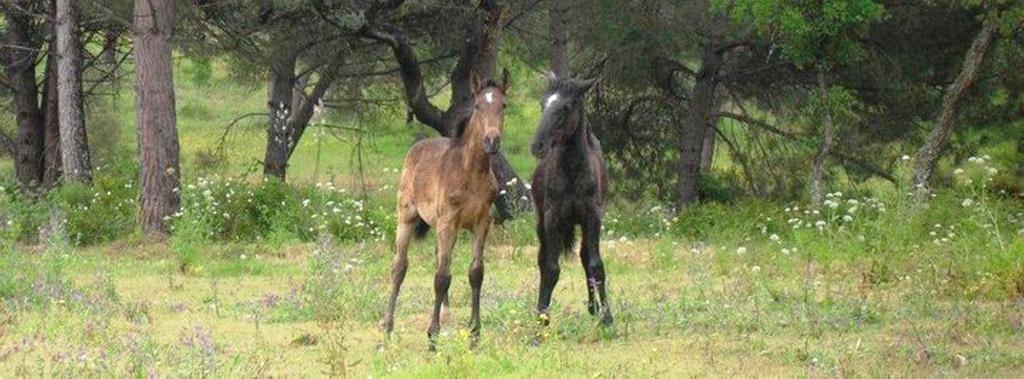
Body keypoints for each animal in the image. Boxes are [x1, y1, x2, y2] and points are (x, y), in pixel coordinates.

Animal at [528, 74, 606, 325]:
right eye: (542, 105)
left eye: (566, 107)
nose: (537, 145)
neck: (572, 171)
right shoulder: (552, 219)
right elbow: (551, 269)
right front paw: (543, 319)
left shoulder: (593, 217)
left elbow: (595, 265)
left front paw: (607, 316)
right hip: (542, 224)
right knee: (543, 261)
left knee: (584, 256)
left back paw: (593, 307)